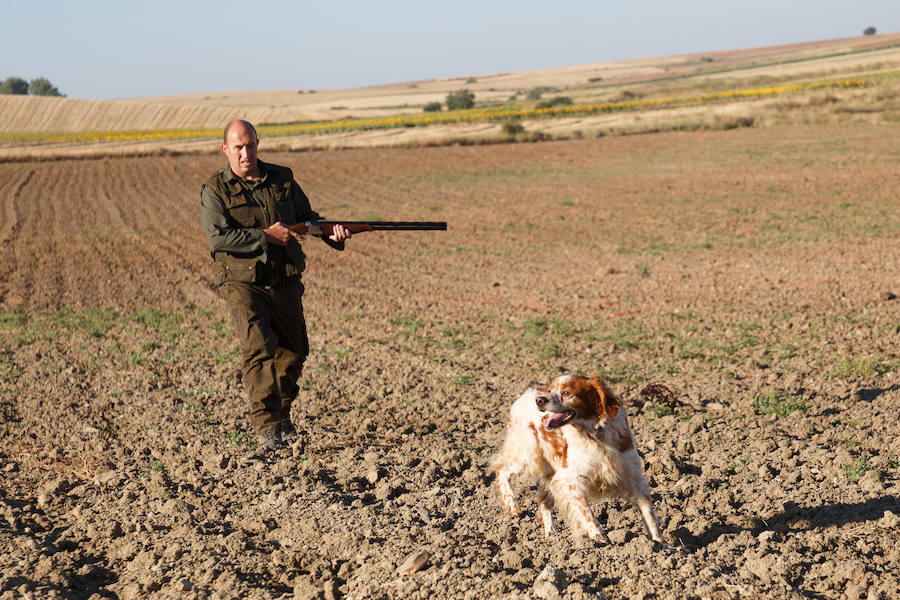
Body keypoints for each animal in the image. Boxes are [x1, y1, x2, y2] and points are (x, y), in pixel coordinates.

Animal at [492, 376, 668, 548]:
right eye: (550, 390)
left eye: (566, 392)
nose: (539, 400)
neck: (595, 434)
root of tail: (526, 393)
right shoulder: (570, 480)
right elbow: (587, 513)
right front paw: (600, 538)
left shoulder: (635, 477)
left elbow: (649, 515)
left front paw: (662, 545)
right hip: (527, 453)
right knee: (501, 468)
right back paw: (512, 505)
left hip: (549, 472)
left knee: (543, 500)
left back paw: (551, 535)